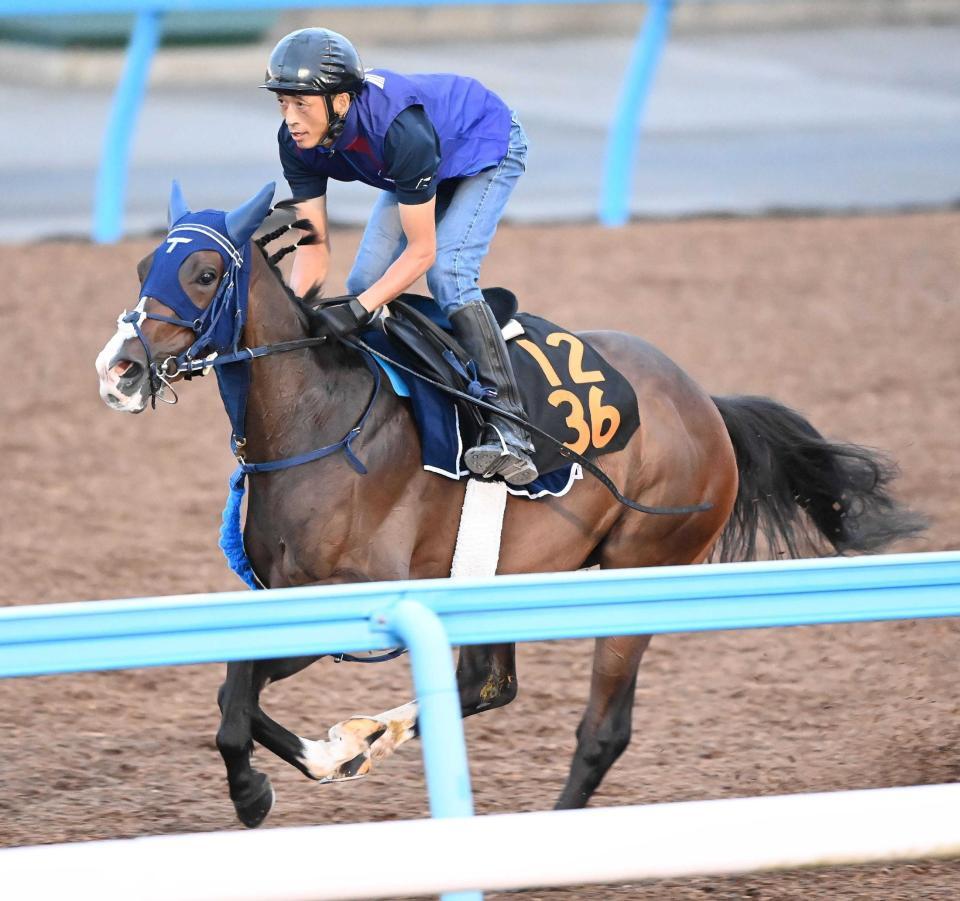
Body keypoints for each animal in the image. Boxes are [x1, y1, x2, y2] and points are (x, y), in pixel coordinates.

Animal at [97, 185, 924, 828]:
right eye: (143, 267)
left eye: (204, 272)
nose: (120, 370)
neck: (318, 419)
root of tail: (707, 406)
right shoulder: (287, 594)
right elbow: (232, 689)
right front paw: (326, 754)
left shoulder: (358, 599)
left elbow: (236, 698)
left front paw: (261, 788)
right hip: (501, 575)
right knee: (487, 685)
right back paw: (370, 738)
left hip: (639, 571)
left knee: (602, 728)